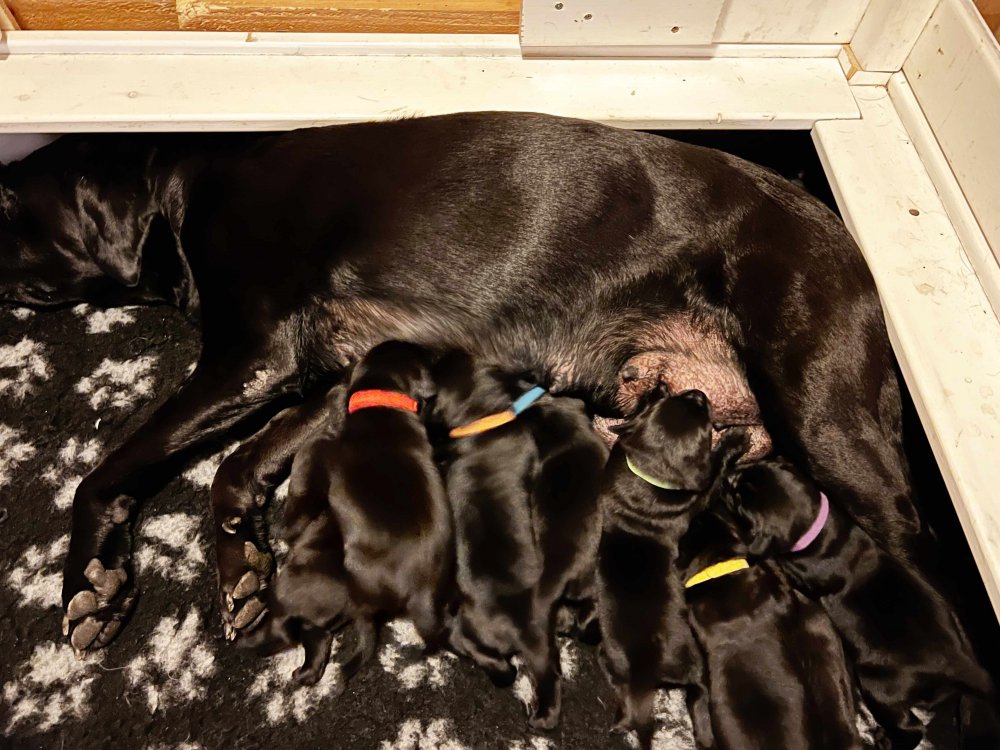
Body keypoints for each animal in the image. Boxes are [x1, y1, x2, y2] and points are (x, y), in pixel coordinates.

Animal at [0, 113, 923, 650]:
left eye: (6, 200)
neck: (185, 189)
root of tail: (848, 245)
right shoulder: (328, 373)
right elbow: (238, 469)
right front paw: (243, 570)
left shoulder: (249, 356)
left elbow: (110, 472)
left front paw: (91, 586)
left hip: (820, 413)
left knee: (900, 541)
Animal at [238, 341, 452, 687]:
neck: (382, 402)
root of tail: (420, 591)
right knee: (317, 643)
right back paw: (306, 673)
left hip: (309, 599)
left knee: (284, 630)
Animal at [596, 385, 748, 749]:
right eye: (705, 423)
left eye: (673, 400)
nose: (698, 392)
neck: (651, 474)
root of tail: (643, 671)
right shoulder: (701, 495)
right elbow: (713, 474)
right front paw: (735, 441)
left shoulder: (620, 454)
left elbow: (625, 434)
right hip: (692, 663)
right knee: (699, 689)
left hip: (614, 665)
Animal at [724, 459, 999, 749]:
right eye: (757, 466)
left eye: (739, 499)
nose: (728, 477)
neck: (818, 530)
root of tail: (958, 663)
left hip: (879, 688)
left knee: (912, 729)